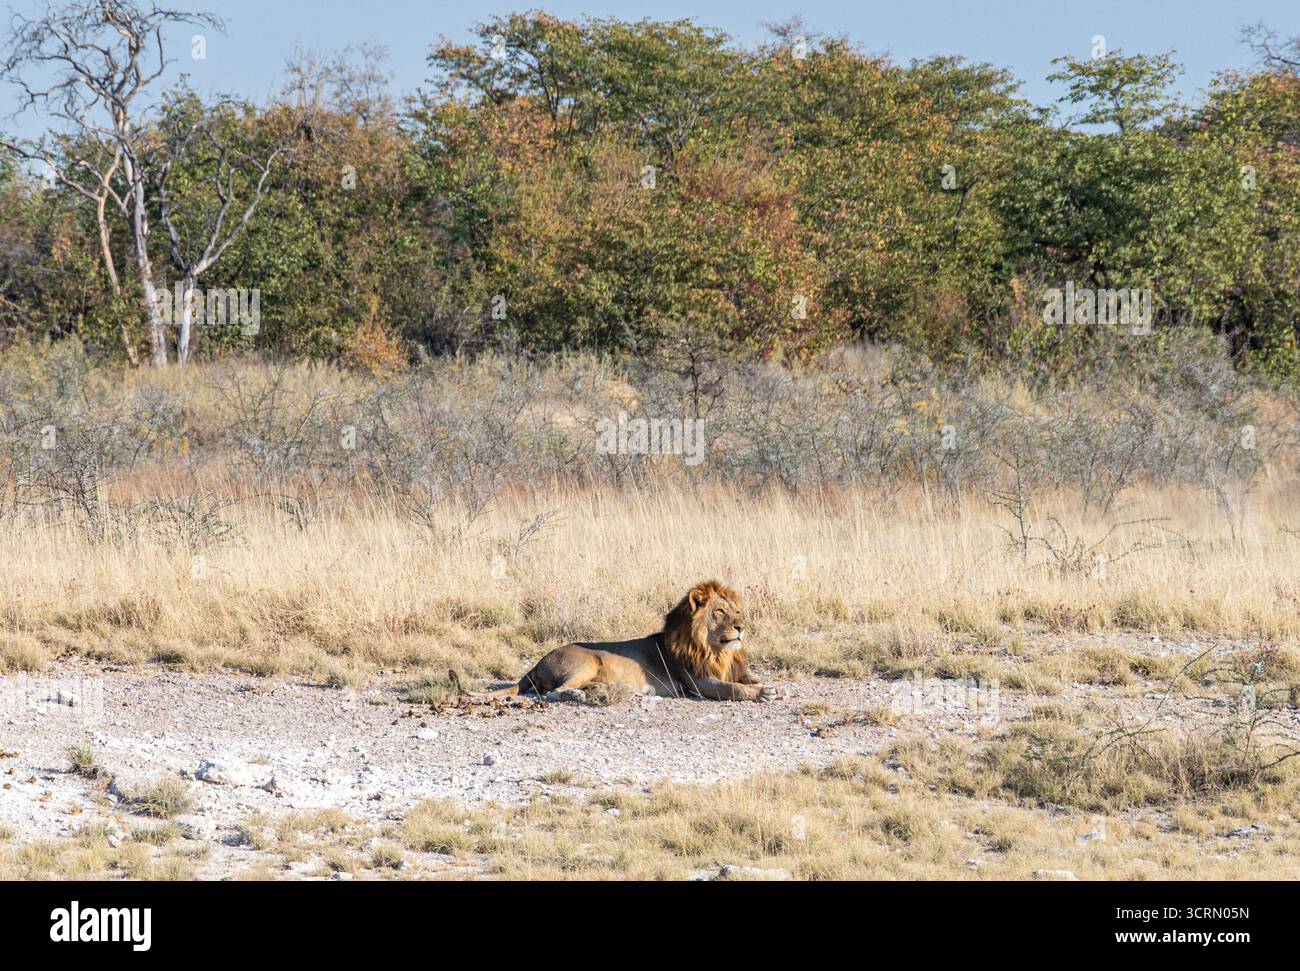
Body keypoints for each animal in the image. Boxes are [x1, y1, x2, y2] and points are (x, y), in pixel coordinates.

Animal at [474, 580, 779, 704]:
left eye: (736, 611)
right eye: (720, 612)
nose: (741, 627)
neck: (716, 650)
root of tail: (537, 662)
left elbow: (745, 679)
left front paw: (769, 687)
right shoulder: (696, 682)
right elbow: (731, 688)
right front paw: (762, 693)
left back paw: (606, 691)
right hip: (585, 663)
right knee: (554, 692)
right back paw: (580, 696)